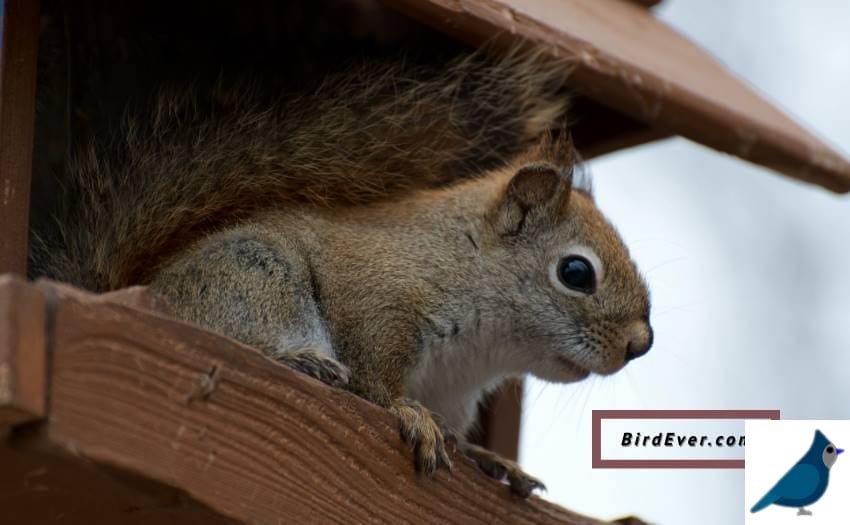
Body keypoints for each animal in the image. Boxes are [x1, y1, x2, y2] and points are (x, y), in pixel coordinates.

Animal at [36, 45, 652, 496]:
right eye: (576, 273)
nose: (639, 344)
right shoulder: (378, 302)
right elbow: (378, 379)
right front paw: (410, 415)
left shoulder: (455, 391)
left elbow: (460, 433)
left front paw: (490, 458)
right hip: (255, 279)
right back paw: (301, 361)